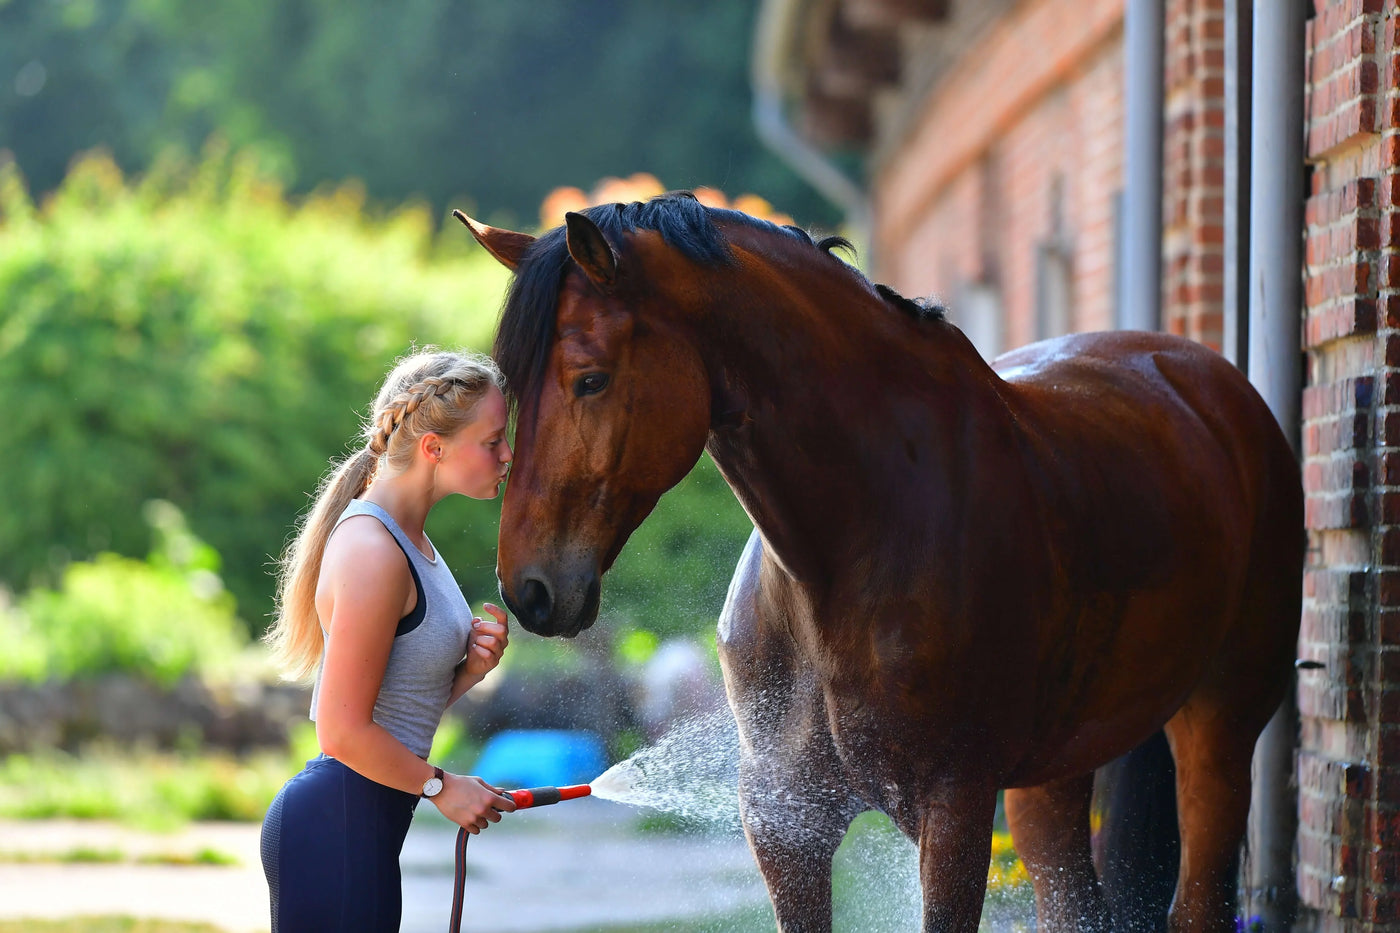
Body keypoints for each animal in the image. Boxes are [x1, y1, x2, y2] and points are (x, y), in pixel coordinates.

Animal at [454, 193, 1303, 932]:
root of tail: (1206, 380)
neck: (850, 547)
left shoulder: (954, 812)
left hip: (1218, 724)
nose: (527, 587)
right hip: (1050, 779)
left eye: (589, 378)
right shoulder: (786, 822)